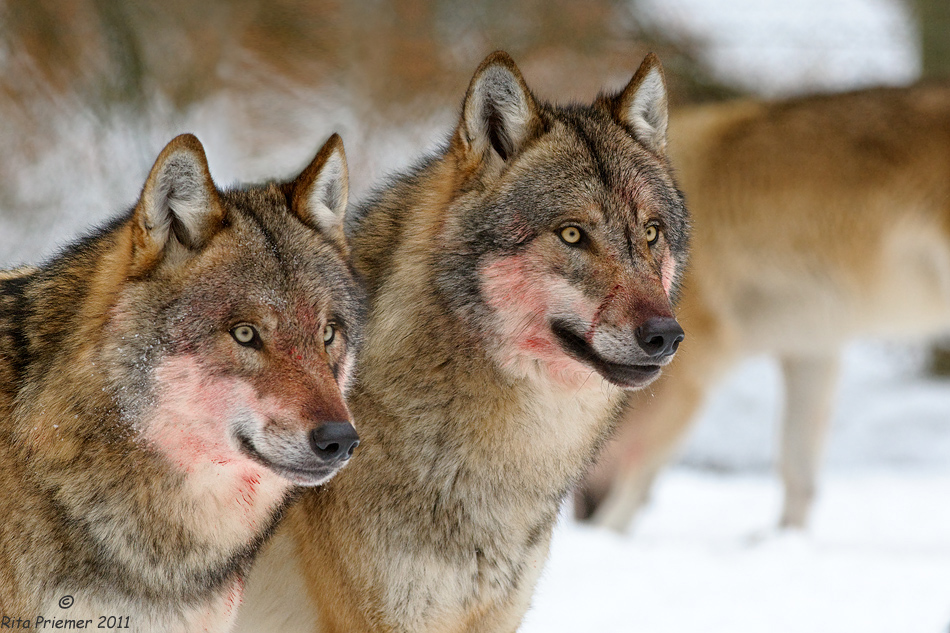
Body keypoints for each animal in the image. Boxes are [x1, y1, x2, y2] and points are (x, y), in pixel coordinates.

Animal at [576, 82, 950, 528]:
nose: (579, 515)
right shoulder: (810, 348)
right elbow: (797, 473)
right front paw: (787, 539)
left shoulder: (691, 363)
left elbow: (636, 476)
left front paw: (606, 536)